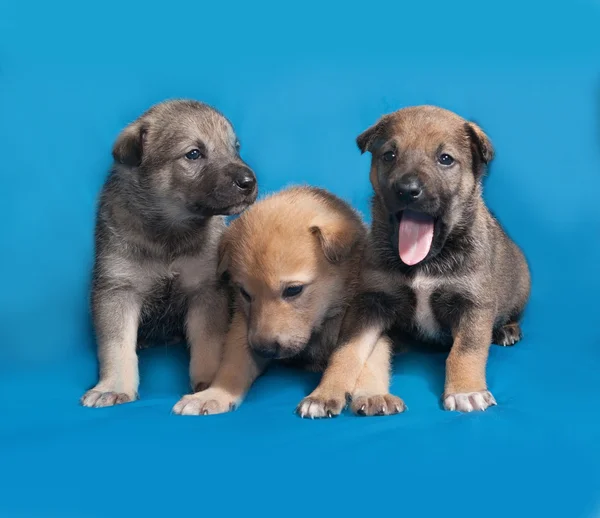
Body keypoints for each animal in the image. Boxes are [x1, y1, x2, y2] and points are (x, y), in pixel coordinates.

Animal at [80, 99, 258, 408]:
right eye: (194, 154)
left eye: (235, 148)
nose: (249, 181)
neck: (169, 233)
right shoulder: (117, 290)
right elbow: (116, 345)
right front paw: (113, 386)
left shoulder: (206, 289)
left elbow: (208, 341)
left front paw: (209, 383)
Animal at [173, 186, 408, 418]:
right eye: (245, 294)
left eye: (293, 290)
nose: (264, 350)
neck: (322, 323)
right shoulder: (243, 325)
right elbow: (233, 364)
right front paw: (213, 394)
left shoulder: (366, 320)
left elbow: (363, 359)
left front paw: (371, 394)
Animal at [350, 105, 532, 414]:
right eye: (389, 155)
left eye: (445, 159)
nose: (407, 190)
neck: (425, 262)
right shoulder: (378, 296)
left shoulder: (474, 304)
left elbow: (465, 350)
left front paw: (465, 390)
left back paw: (507, 330)